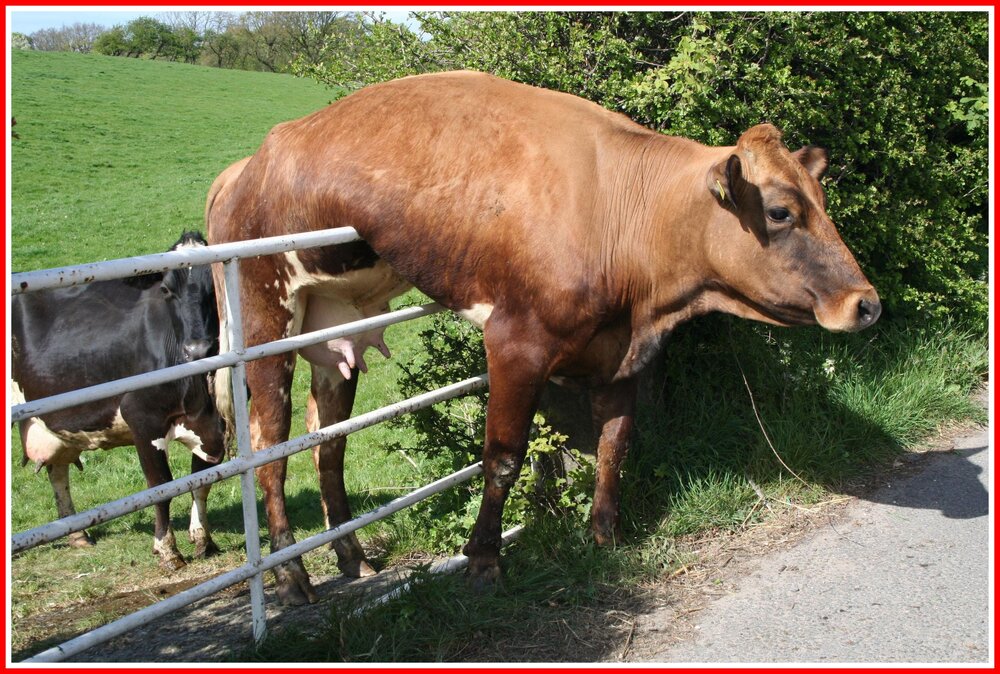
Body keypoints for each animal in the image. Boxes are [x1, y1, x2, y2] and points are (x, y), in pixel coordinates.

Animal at [10, 231, 227, 570]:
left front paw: (203, 539)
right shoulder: (142, 418)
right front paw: (167, 549)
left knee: (57, 470)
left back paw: (77, 535)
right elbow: (161, 486)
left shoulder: (215, 425)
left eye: (215, 285)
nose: (198, 349)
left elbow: (201, 481)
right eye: (166, 289)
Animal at [207, 70, 880, 604]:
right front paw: (484, 562)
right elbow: (503, 458)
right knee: (268, 447)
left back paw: (353, 559)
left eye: (822, 200)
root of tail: (246, 166)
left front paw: (604, 537)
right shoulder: (516, 344)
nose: (867, 304)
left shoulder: (621, 356)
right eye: (781, 212)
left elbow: (614, 445)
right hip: (264, 316)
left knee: (329, 443)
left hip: (333, 328)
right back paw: (292, 579)